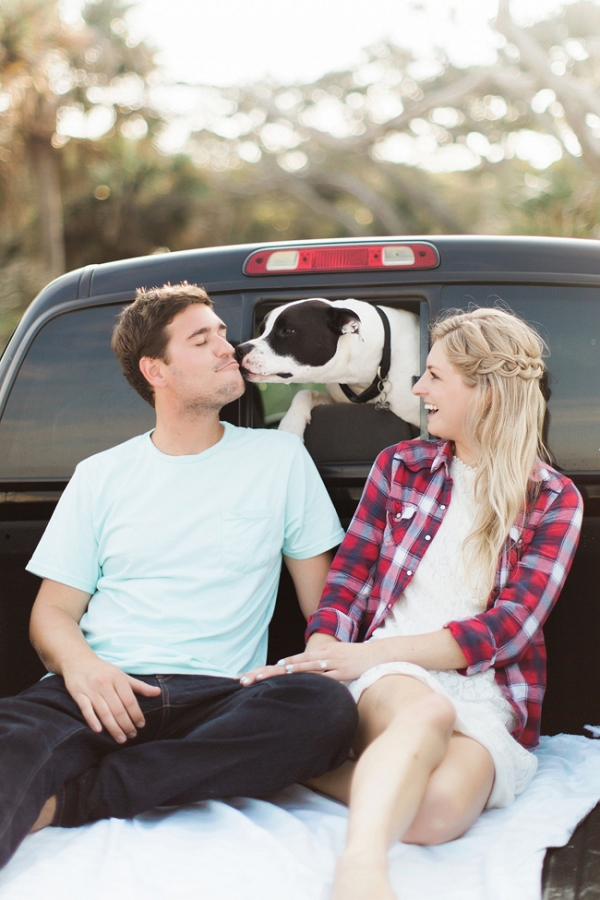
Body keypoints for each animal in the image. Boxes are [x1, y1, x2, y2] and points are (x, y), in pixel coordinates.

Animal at [234, 298, 418, 440]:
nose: (239, 350)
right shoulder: (336, 400)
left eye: (288, 330)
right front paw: (291, 424)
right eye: (262, 330)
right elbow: (305, 392)